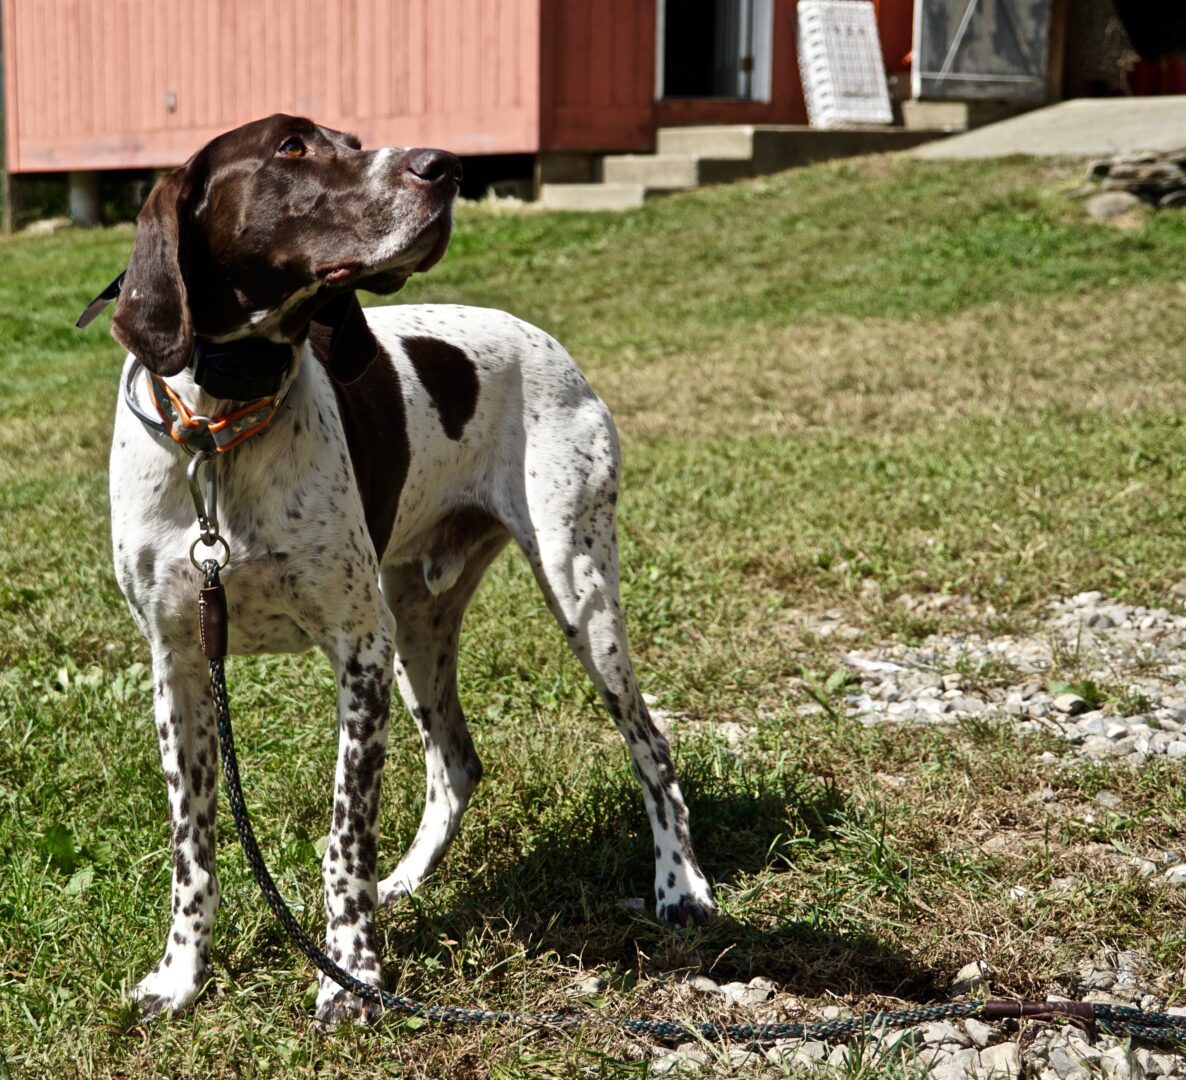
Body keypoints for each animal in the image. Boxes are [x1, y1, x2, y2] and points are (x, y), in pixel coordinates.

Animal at [104, 113, 711, 1024]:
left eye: (352, 139)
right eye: (291, 147)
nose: (447, 166)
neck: (222, 422)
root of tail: (546, 340)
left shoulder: (359, 652)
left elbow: (342, 838)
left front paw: (350, 976)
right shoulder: (178, 664)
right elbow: (194, 846)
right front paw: (181, 976)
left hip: (576, 592)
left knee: (652, 743)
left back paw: (681, 886)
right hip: (418, 622)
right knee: (457, 763)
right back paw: (409, 882)